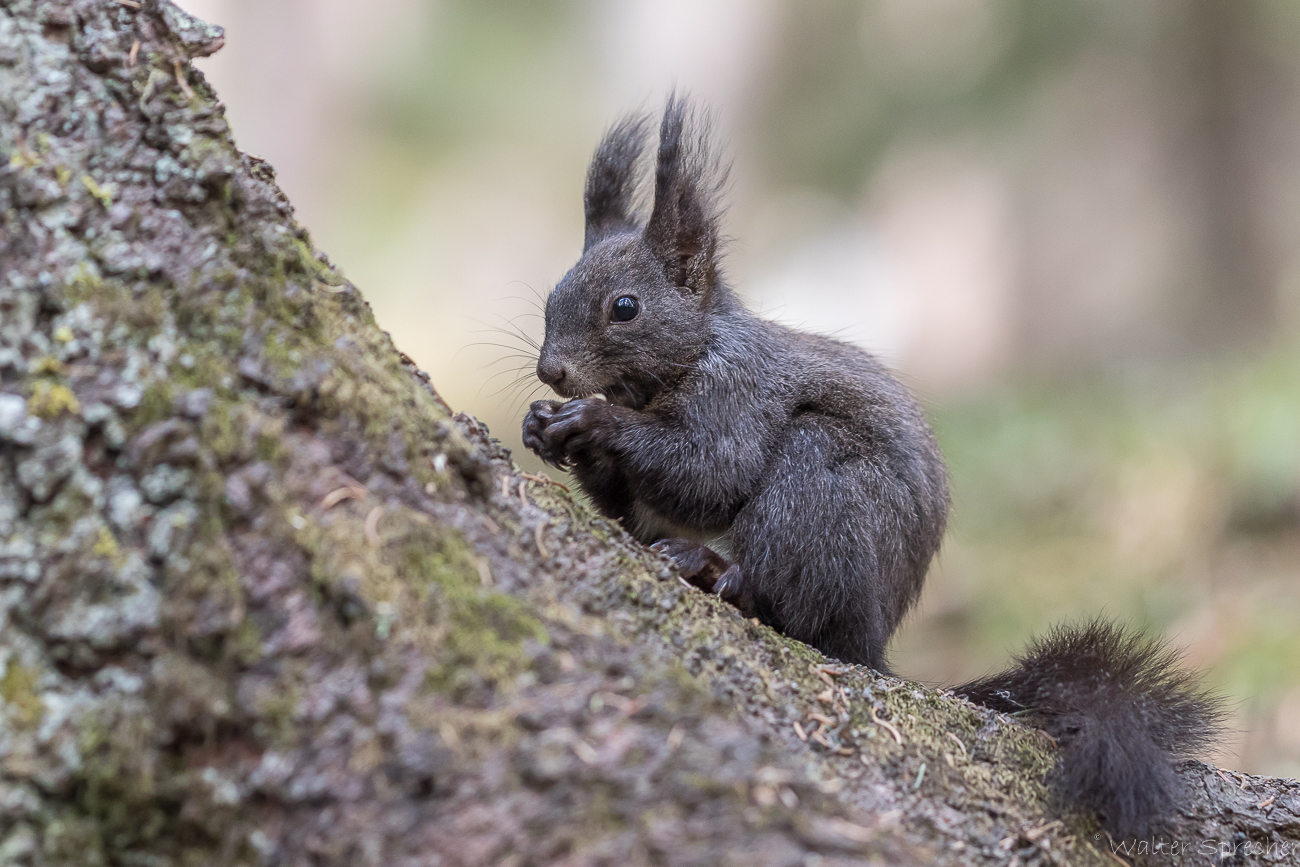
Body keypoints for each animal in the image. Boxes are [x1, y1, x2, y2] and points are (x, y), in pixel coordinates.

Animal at [514, 96, 1216, 842]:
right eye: (551, 297)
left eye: (625, 307)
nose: (552, 371)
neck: (686, 359)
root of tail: (876, 644)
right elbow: (631, 509)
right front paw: (542, 427)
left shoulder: (740, 394)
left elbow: (708, 474)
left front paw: (593, 423)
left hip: (819, 488)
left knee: (790, 607)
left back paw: (714, 570)